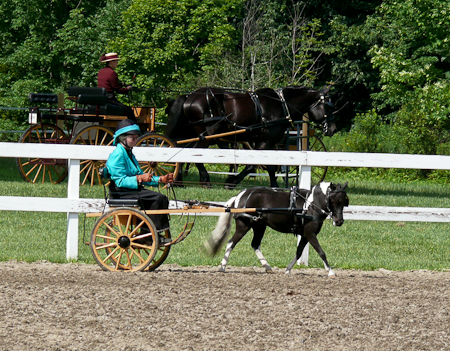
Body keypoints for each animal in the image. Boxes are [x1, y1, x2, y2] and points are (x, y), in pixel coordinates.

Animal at [165, 86, 334, 188]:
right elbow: (253, 165)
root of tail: (189, 97)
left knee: (182, 150)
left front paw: (274, 185)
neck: (281, 105)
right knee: (194, 153)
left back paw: (178, 181)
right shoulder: (265, 140)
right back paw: (204, 180)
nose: (332, 128)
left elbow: (271, 166)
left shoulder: (268, 142)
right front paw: (231, 181)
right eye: (328, 106)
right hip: (210, 135)